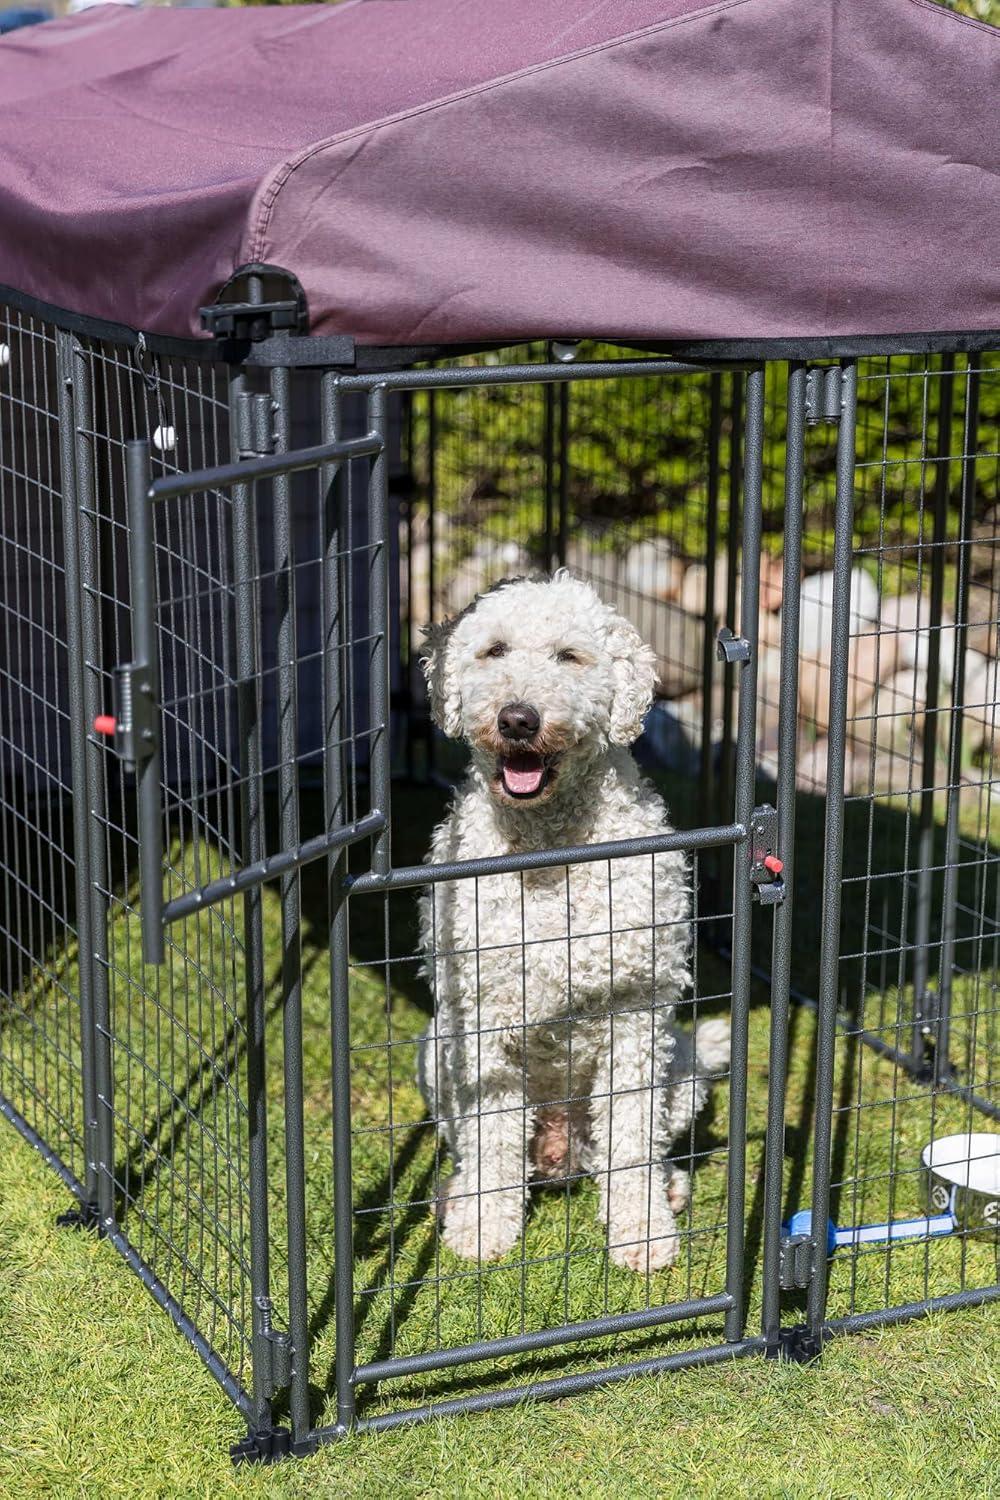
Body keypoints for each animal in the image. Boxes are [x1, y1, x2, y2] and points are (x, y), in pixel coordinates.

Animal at [413, 570, 728, 1266]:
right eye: (494, 650)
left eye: (569, 657)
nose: (518, 718)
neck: (549, 848)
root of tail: (560, 1145)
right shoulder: (483, 1018)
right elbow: (493, 1140)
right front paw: (483, 1227)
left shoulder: (636, 1013)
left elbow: (632, 1141)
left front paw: (641, 1232)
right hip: (436, 1054)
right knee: (484, 1147)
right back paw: (458, 1194)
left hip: (681, 1067)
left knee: (640, 1146)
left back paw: (666, 1188)